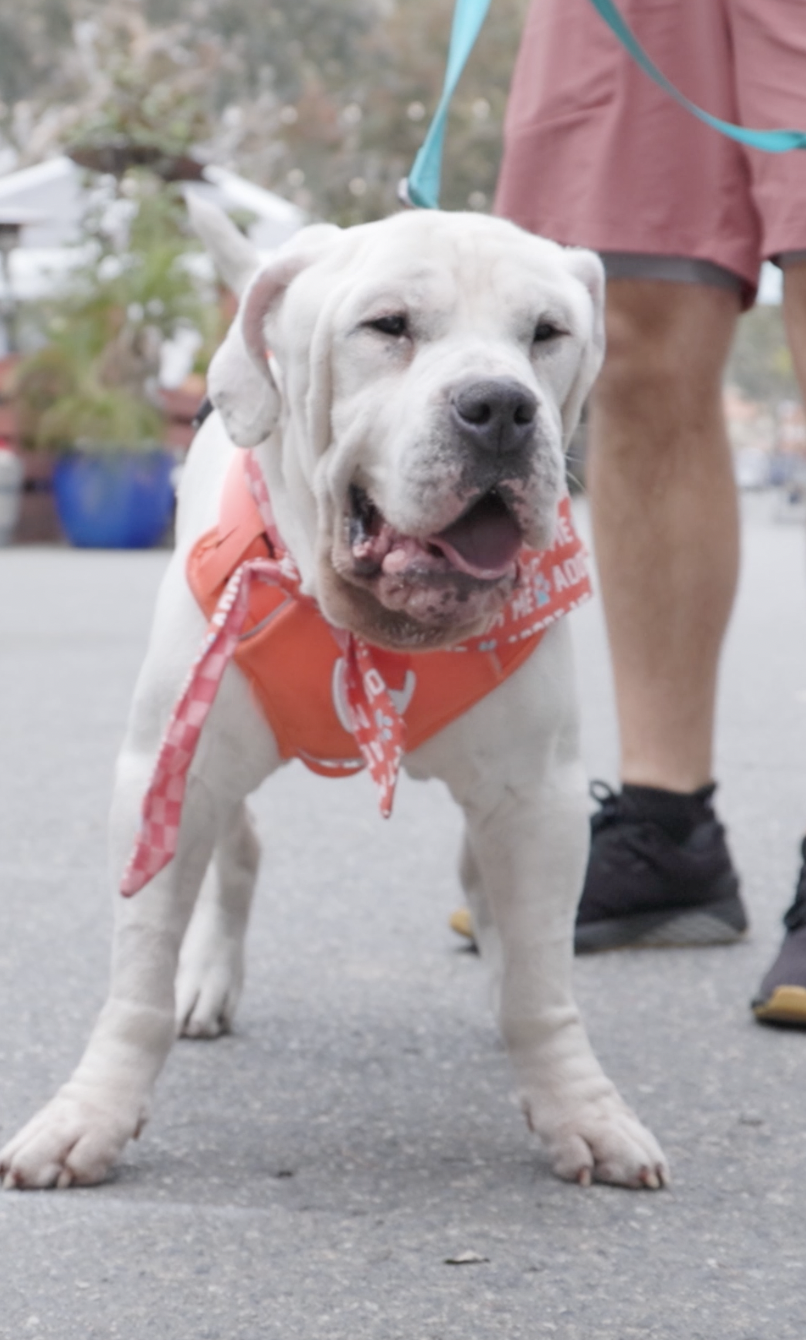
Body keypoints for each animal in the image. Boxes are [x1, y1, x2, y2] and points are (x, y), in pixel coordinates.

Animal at [0, 203, 665, 1189]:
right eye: (388, 326)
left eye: (547, 334)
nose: (502, 407)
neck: (369, 626)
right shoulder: (167, 775)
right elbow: (139, 980)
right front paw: (93, 1113)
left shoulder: (539, 798)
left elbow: (544, 985)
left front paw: (580, 1108)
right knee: (238, 856)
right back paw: (210, 978)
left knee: (487, 894)